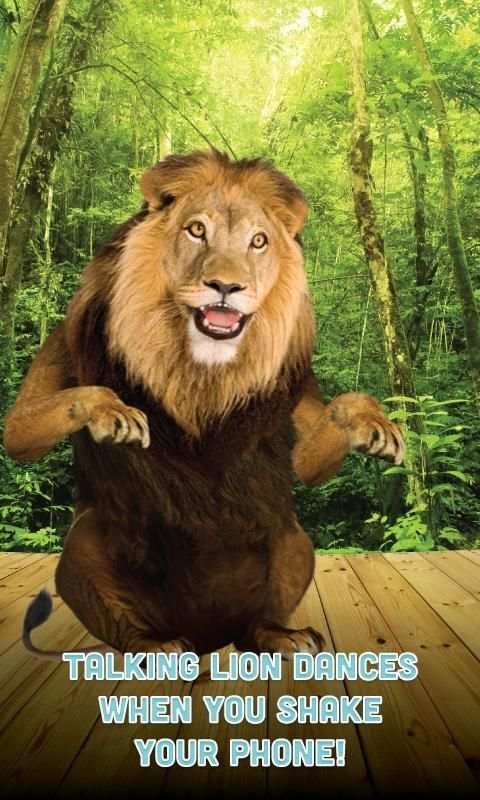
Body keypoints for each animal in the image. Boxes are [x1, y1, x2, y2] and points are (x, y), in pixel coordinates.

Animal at [4, 150, 404, 659]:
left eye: (258, 241)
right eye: (197, 230)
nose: (226, 286)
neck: (201, 375)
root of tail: (209, 640)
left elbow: (312, 454)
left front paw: (370, 422)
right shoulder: (58, 350)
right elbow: (22, 430)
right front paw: (114, 413)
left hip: (295, 541)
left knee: (255, 622)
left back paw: (281, 635)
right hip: (82, 548)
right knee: (127, 624)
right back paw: (155, 648)